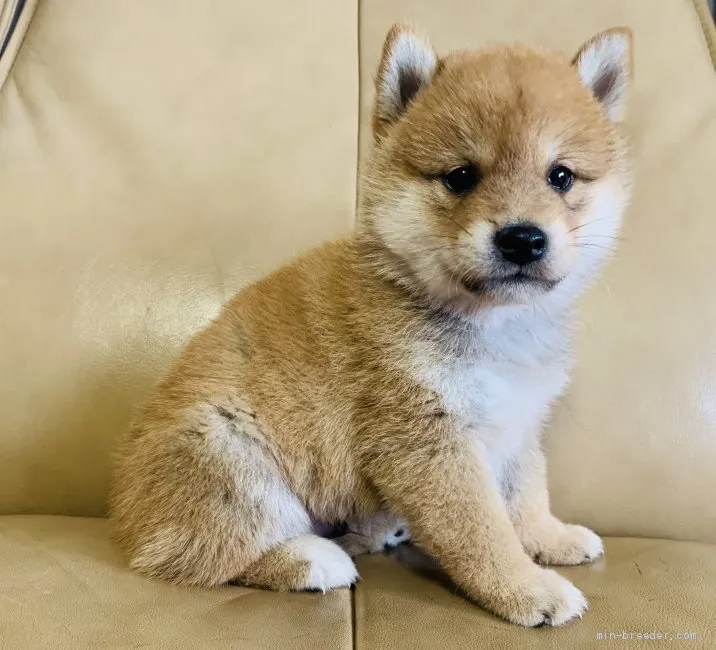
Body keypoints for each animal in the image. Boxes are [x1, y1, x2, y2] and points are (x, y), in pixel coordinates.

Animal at [110, 22, 632, 624]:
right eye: (461, 177)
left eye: (560, 176)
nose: (523, 238)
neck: (490, 323)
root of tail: (125, 519)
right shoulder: (427, 441)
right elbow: (482, 530)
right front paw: (526, 587)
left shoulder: (516, 423)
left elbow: (525, 494)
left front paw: (550, 537)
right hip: (226, 453)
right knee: (202, 555)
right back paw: (309, 559)